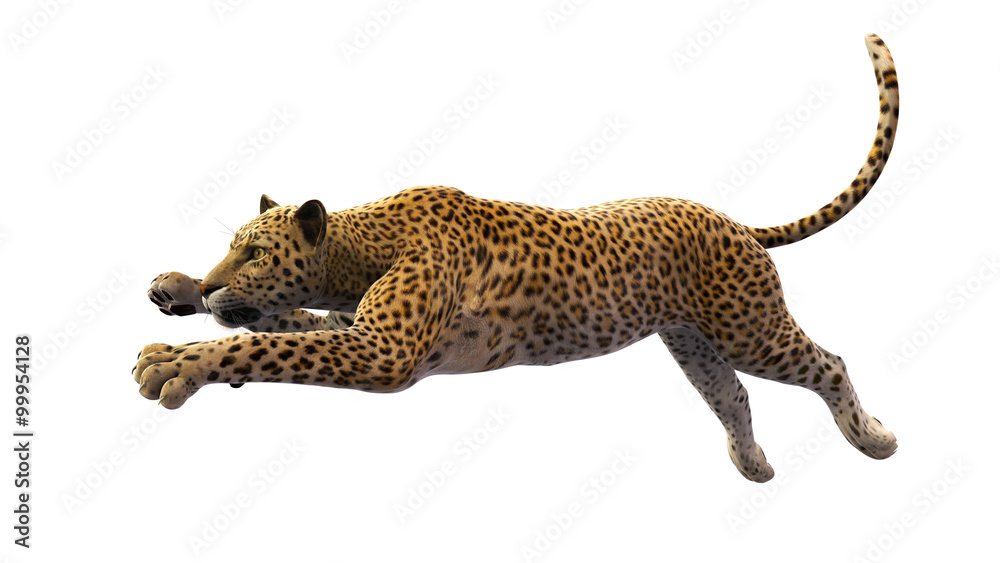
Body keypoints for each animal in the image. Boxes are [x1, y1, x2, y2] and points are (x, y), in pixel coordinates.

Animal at [135, 34, 899, 482]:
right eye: (229, 248)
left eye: (255, 252)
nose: (213, 286)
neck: (359, 251)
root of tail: (734, 221)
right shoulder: (356, 326)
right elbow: (280, 323)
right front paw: (179, 290)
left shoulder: (384, 351)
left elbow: (266, 343)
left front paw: (176, 364)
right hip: (692, 340)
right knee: (731, 393)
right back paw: (753, 462)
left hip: (749, 327)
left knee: (828, 363)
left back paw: (872, 439)